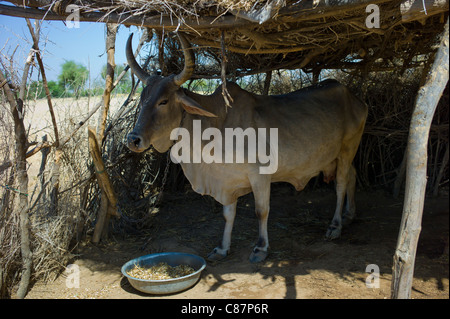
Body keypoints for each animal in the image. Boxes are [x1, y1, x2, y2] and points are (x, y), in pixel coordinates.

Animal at [125, 32, 368, 264]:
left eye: (163, 101)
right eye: (142, 99)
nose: (133, 139)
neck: (216, 125)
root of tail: (355, 98)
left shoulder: (260, 175)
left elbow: (261, 211)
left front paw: (260, 248)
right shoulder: (226, 181)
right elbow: (228, 214)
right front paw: (222, 248)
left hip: (347, 148)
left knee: (341, 183)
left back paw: (335, 225)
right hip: (336, 156)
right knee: (353, 175)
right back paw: (349, 216)